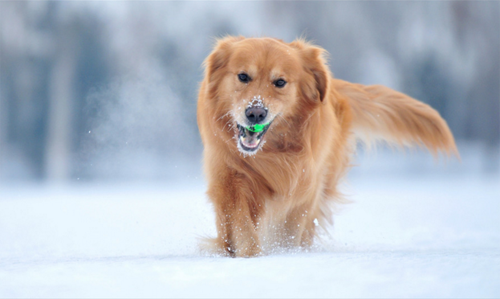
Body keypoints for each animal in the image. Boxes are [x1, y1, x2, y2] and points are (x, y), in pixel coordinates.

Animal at [195, 37, 458, 258]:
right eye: (243, 76)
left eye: (280, 82)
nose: (256, 113)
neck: (270, 154)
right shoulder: (230, 178)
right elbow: (240, 224)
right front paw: (249, 255)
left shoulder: (304, 186)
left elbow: (290, 229)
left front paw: (285, 254)